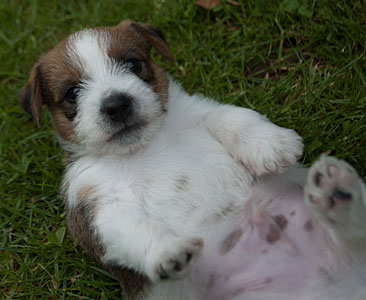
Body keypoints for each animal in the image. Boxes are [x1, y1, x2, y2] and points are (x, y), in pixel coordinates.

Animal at [19, 19, 366, 298]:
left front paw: (271, 145)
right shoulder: (98, 205)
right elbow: (131, 228)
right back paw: (335, 194)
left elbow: (234, 117)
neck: (146, 147)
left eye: (132, 64)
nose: (116, 104)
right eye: (73, 93)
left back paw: (336, 191)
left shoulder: (202, 112)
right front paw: (167, 251)